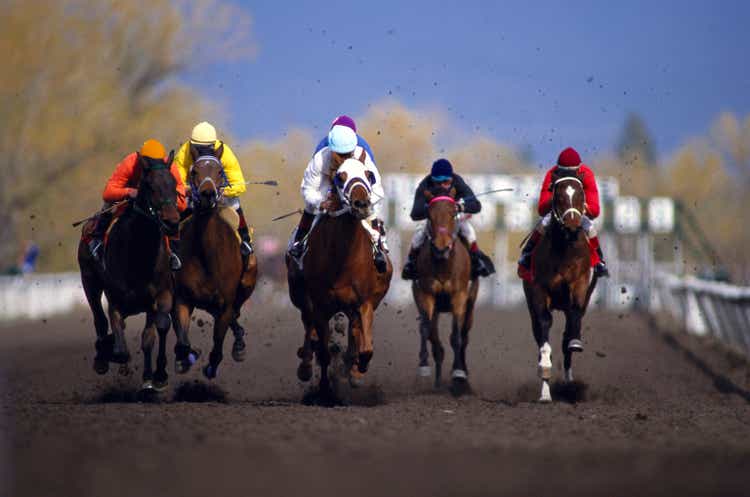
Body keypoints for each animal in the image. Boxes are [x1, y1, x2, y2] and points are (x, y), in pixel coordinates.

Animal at [77, 151, 181, 392]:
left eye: (173, 184)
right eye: (150, 186)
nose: (172, 222)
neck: (139, 254)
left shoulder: (160, 295)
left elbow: (153, 333)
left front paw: (154, 377)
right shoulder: (115, 300)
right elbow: (120, 345)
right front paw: (110, 353)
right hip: (89, 281)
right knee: (100, 319)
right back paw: (103, 358)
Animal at [172, 143, 260, 380]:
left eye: (220, 171)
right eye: (194, 171)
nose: (208, 194)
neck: (206, 256)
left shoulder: (225, 302)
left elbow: (218, 343)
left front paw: (211, 365)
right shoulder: (182, 299)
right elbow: (182, 340)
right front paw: (186, 357)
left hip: (246, 282)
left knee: (235, 313)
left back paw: (238, 345)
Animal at [286, 157, 394, 402]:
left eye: (368, 175)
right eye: (340, 177)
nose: (361, 204)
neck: (343, 259)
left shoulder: (364, 303)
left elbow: (366, 348)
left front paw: (357, 369)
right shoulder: (320, 305)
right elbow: (324, 352)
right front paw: (325, 391)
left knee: (354, 331)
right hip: (301, 297)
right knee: (309, 328)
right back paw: (306, 365)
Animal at [414, 187, 478, 392]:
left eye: (452, 213)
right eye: (429, 215)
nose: (441, 248)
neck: (444, 264)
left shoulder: (459, 296)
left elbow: (456, 337)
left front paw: (458, 372)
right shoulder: (426, 295)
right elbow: (426, 330)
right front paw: (424, 366)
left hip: (470, 304)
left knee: (464, 336)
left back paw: (462, 376)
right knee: (434, 338)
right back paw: (438, 382)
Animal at [524, 169, 604, 402]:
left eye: (580, 194)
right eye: (558, 195)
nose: (572, 225)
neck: (564, 250)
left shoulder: (579, 285)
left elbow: (573, 320)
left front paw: (575, 344)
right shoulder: (538, 291)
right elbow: (544, 325)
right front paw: (544, 380)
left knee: (568, 331)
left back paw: (569, 382)